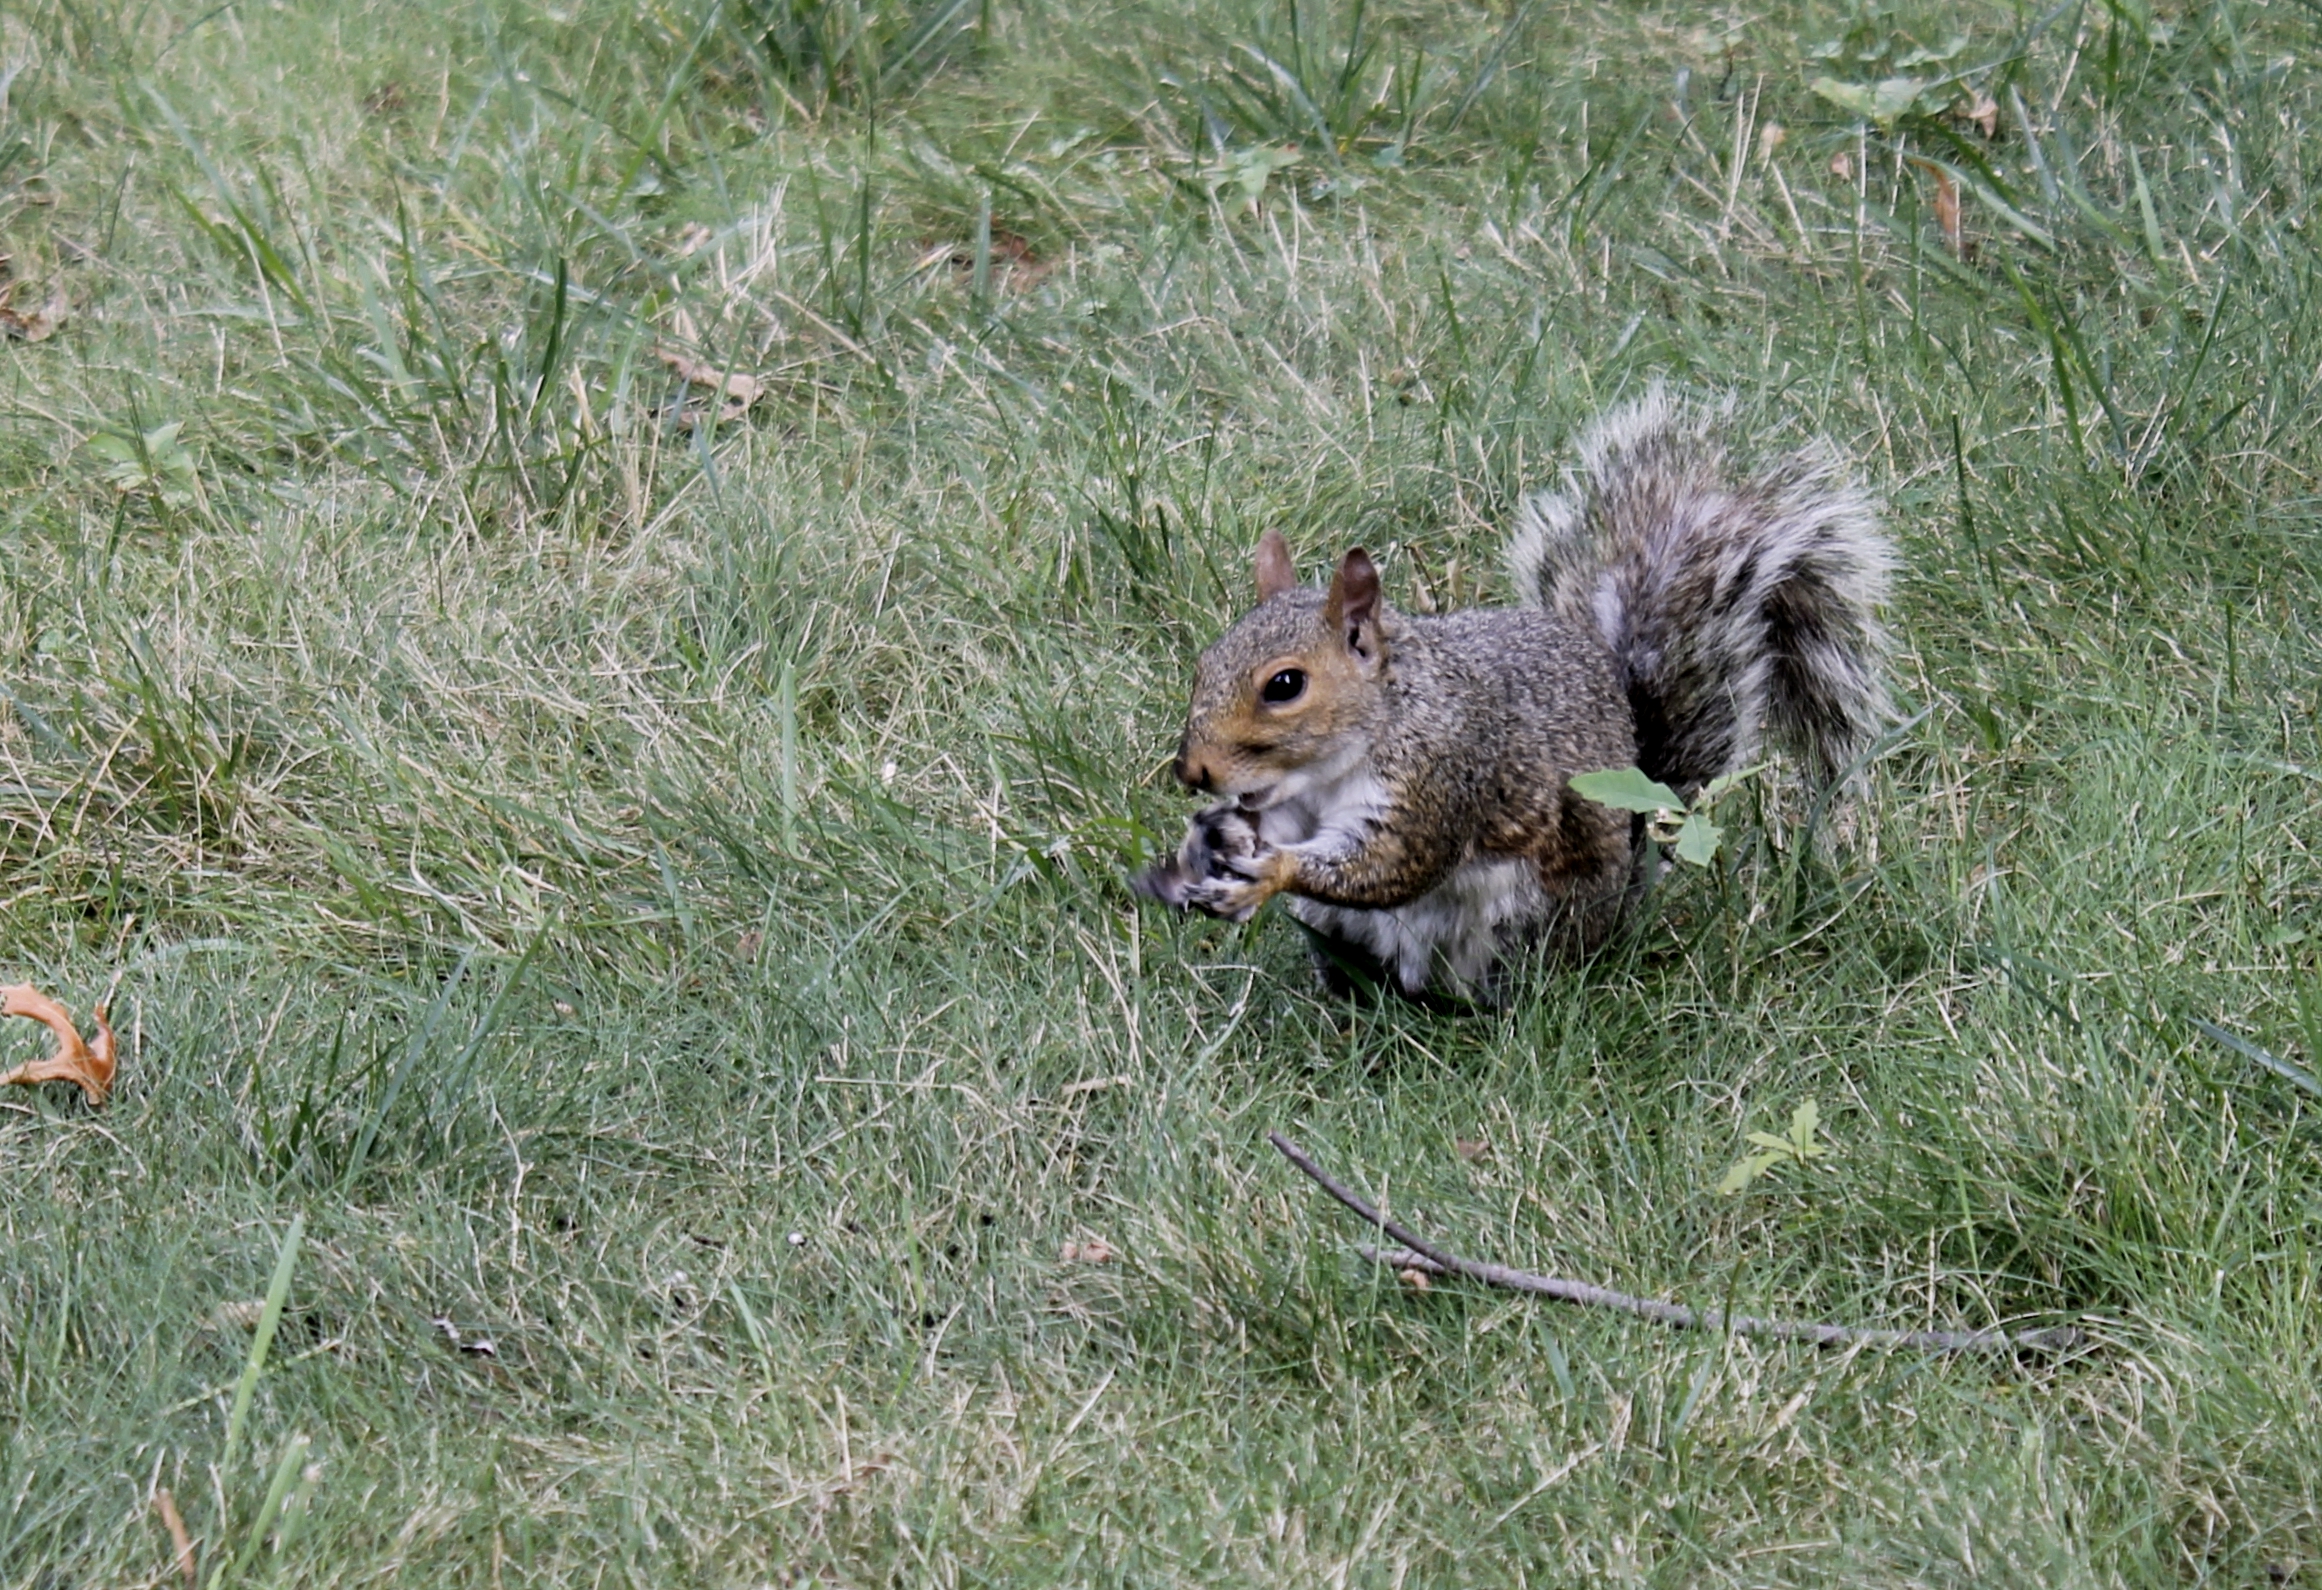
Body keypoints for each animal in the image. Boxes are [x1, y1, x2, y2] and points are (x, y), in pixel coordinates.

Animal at [1136, 388, 1895, 1001]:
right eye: (1205, 663)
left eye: (1285, 685)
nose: (1192, 771)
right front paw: (1212, 838)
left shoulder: (1441, 776)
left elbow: (1393, 866)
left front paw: (1272, 869)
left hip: (1525, 920)